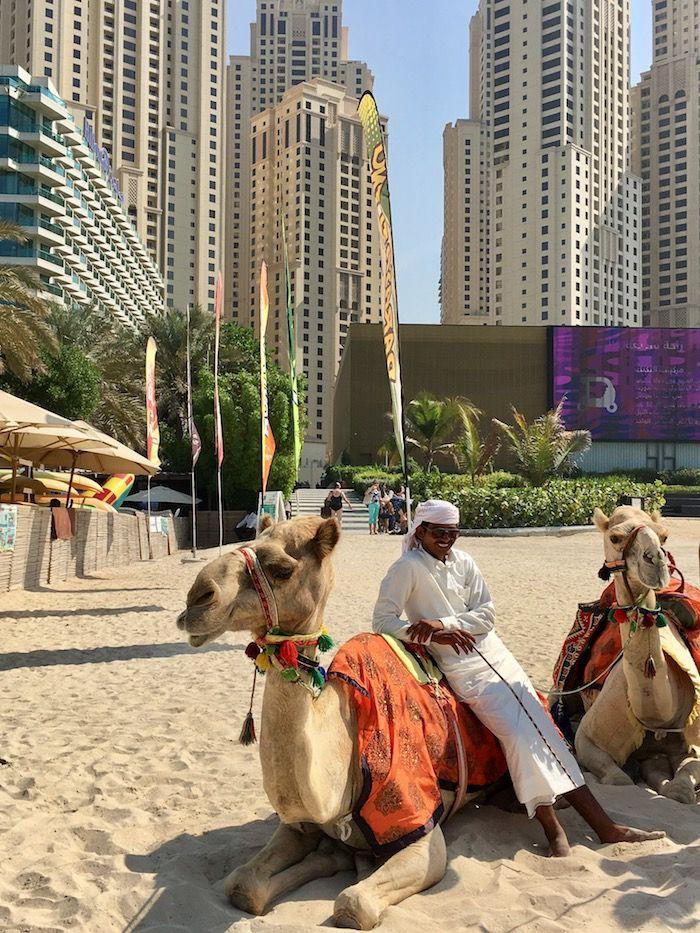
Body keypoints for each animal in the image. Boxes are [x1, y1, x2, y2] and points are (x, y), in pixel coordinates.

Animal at [176, 512, 492, 928]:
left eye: (281, 569)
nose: (196, 599)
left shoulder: (421, 830)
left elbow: (352, 905)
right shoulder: (299, 826)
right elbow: (244, 885)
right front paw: (329, 859)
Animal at [576, 506, 700, 804]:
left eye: (664, 535)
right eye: (615, 537)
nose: (655, 561)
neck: (659, 717)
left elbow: (681, 789)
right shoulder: (586, 736)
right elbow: (619, 780)